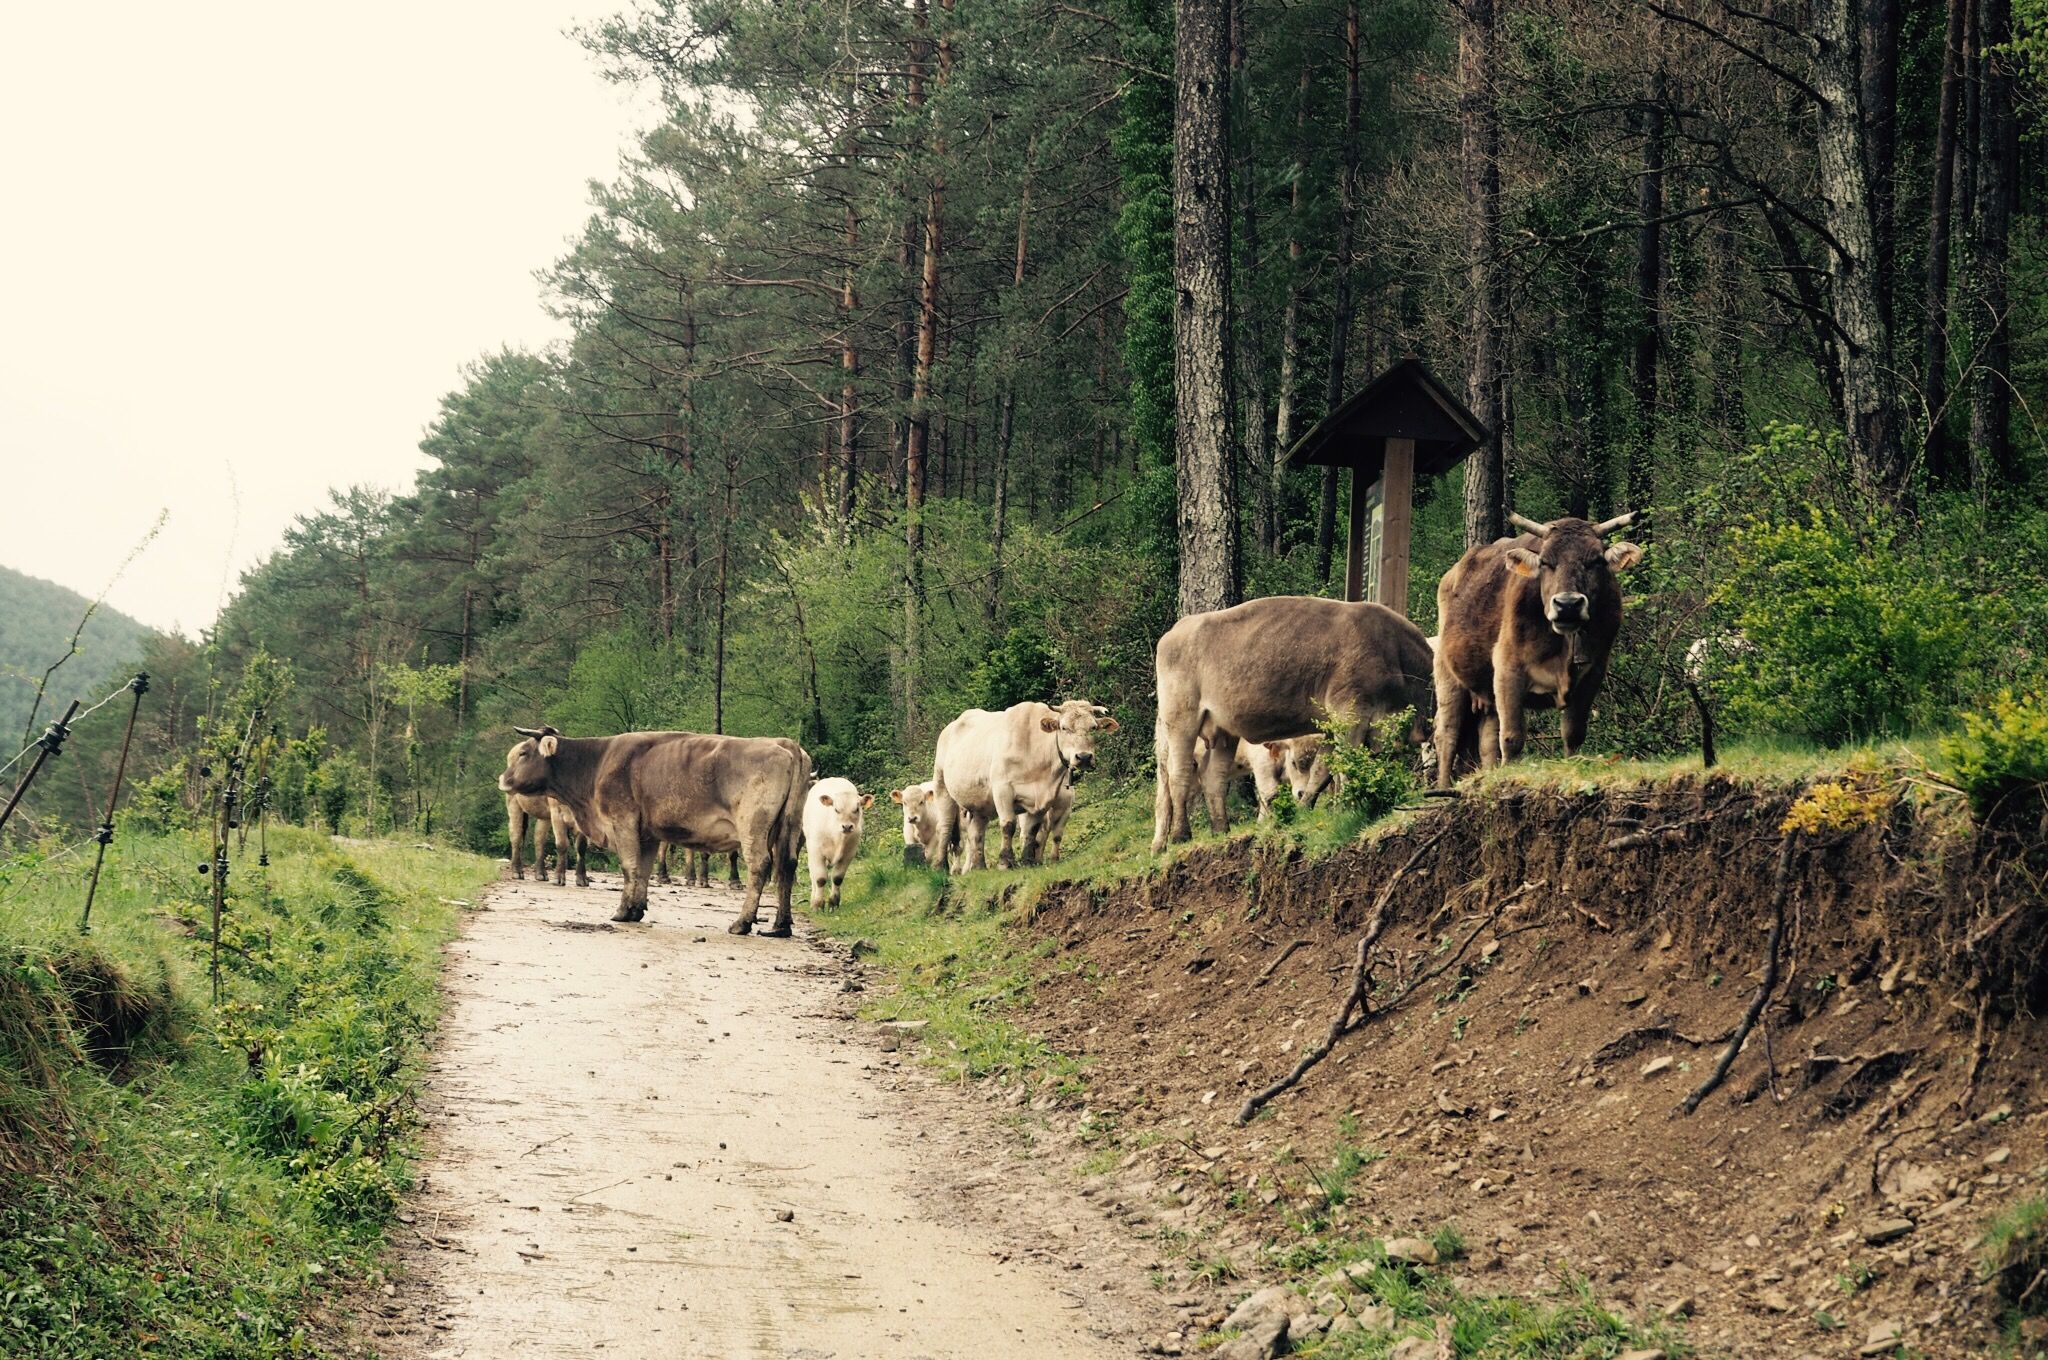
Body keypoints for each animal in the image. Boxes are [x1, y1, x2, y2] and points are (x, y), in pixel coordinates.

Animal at [498, 726, 810, 934]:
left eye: (523, 753)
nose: (502, 778)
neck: (596, 762)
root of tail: (785, 744)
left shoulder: (622, 821)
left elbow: (630, 867)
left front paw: (623, 910)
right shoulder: (646, 833)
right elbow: (643, 869)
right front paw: (636, 908)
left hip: (753, 826)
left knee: (760, 866)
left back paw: (742, 922)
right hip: (791, 827)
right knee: (786, 866)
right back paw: (780, 926)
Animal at [803, 777, 871, 908]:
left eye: (857, 809)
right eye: (836, 809)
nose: (847, 827)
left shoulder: (849, 853)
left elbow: (837, 878)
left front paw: (833, 902)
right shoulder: (816, 851)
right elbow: (820, 878)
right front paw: (817, 904)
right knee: (813, 876)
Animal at [930, 700, 1119, 871]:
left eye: (1093, 727)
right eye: (1064, 727)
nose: (1084, 757)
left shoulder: (1043, 799)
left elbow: (1032, 830)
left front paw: (1028, 861)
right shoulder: (1002, 789)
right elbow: (1008, 825)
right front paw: (1005, 862)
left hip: (979, 803)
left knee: (976, 831)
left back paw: (979, 867)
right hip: (942, 788)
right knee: (945, 828)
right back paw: (941, 867)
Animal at [1152, 597, 1432, 851]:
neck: (1395, 651)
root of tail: (1177, 630)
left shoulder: (1334, 727)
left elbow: (1321, 771)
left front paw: (1305, 807)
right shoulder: (1349, 715)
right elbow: (1346, 766)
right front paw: (1351, 807)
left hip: (1224, 731)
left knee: (1214, 778)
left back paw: (1221, 830)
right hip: (1181, 721)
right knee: (1178, 776)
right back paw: (1179, 835)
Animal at [1433, 511, 1642, 785]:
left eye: (1596, 561)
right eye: (1545, 562)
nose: (1568, 605)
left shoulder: (1593, 674)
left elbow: (1573, 733)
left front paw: (1571, 766)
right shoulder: (1508, 670)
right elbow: (1511, 737)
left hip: (1484, 693)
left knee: (1486, 739)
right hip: (1447, 677)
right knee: (1447, 735)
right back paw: (1443, 786)